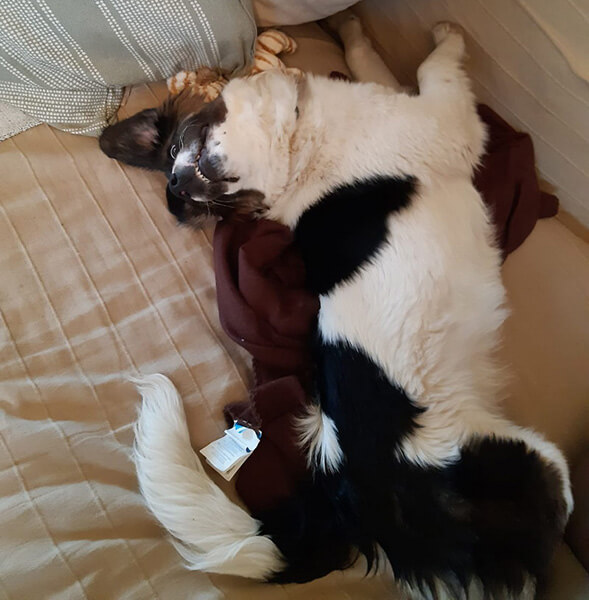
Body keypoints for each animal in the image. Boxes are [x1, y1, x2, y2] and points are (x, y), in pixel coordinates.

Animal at [100, 19, 572, 600]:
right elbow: (434, 67)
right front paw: (448, 34)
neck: (298, 147)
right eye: (177, 176)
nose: (178, 185)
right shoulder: (446, 120)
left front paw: (352, 30)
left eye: (172, 156)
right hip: (527, 463)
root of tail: (344, 493)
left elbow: (375, 62)